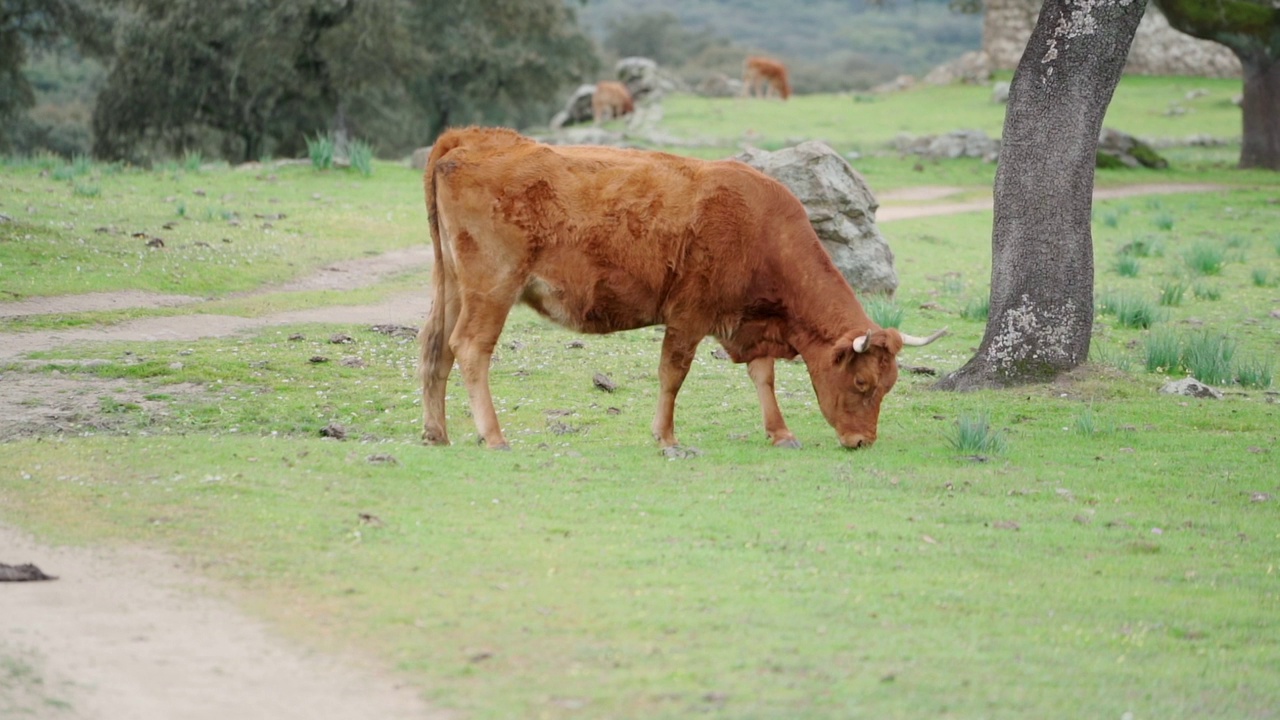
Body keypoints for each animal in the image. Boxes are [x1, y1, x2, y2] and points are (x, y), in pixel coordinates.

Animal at [419, 124, 942, 448]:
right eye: (862, 382)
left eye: (889, 384)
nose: (862, 442)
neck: (761, 229)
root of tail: (471, 138)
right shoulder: (690, 315)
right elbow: (673, 375)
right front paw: (667, 437)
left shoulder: (746, 321)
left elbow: (763, 376)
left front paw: (780, 432)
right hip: (493, 287)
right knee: (470, 348)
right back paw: (493, 436)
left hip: (451, 285)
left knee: (435, 349)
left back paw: (437, 432)